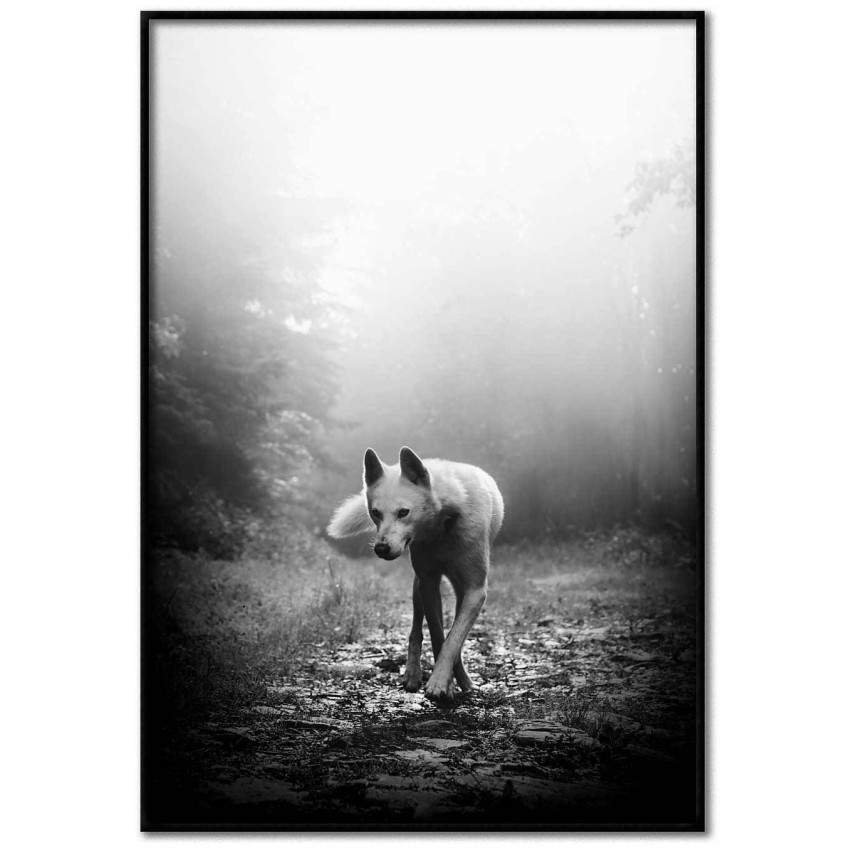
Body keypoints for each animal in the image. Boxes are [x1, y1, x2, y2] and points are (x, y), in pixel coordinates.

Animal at [327, 447, 504, 705]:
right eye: (375, 513)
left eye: (404, 512)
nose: (381, 549)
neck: (443, 526)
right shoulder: (428, 584)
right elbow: (439, 636)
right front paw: (445, 683)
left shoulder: (475, 590)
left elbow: (453, 639)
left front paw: (444, 681)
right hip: (418, 586)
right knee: (416, 630)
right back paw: (413, 674)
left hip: (458, 590)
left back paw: (463, 680)